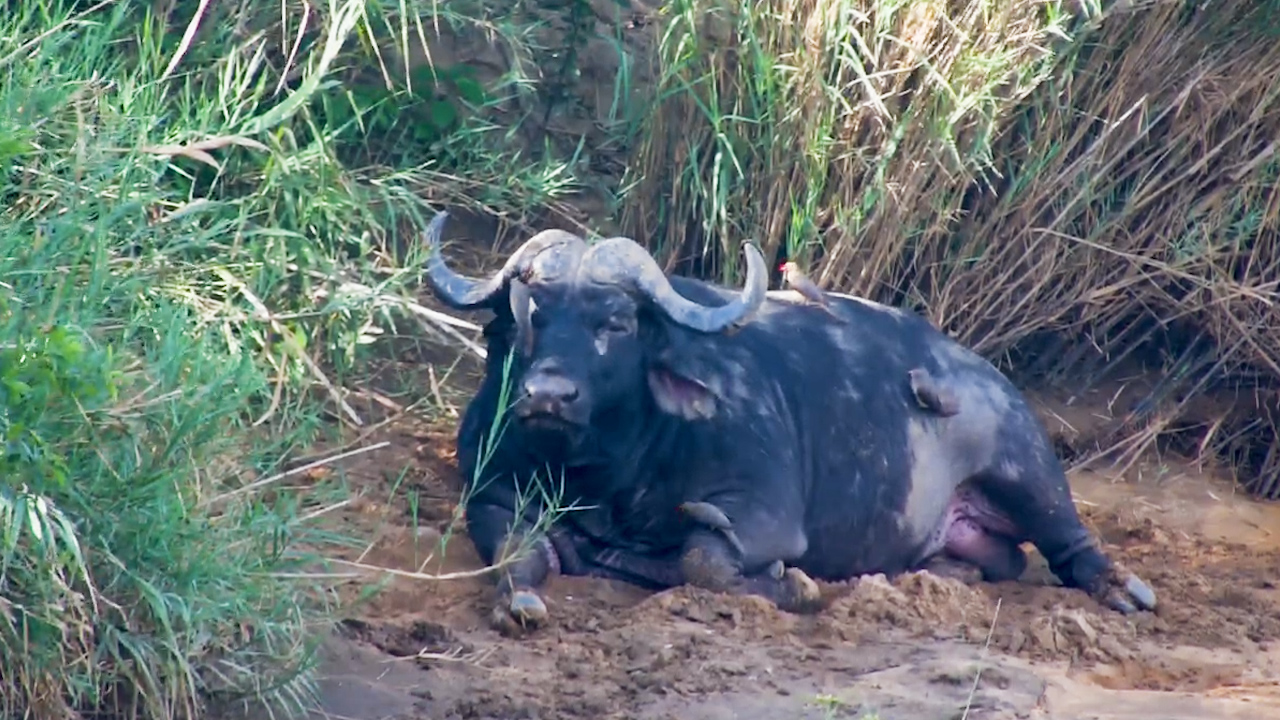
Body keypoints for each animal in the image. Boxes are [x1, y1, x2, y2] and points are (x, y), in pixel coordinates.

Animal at [420, 210, 1157, 631]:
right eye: (532, 313)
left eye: (616, 323)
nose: (547, 395)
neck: (608, 472)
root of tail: (987, 372)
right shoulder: (491, 490)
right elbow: (517, 552)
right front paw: (521, 601)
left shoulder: (764, 509)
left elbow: (702, 560)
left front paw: (795, 585)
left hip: (1027, 466)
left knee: (1069, 543)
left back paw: (1123, 589)